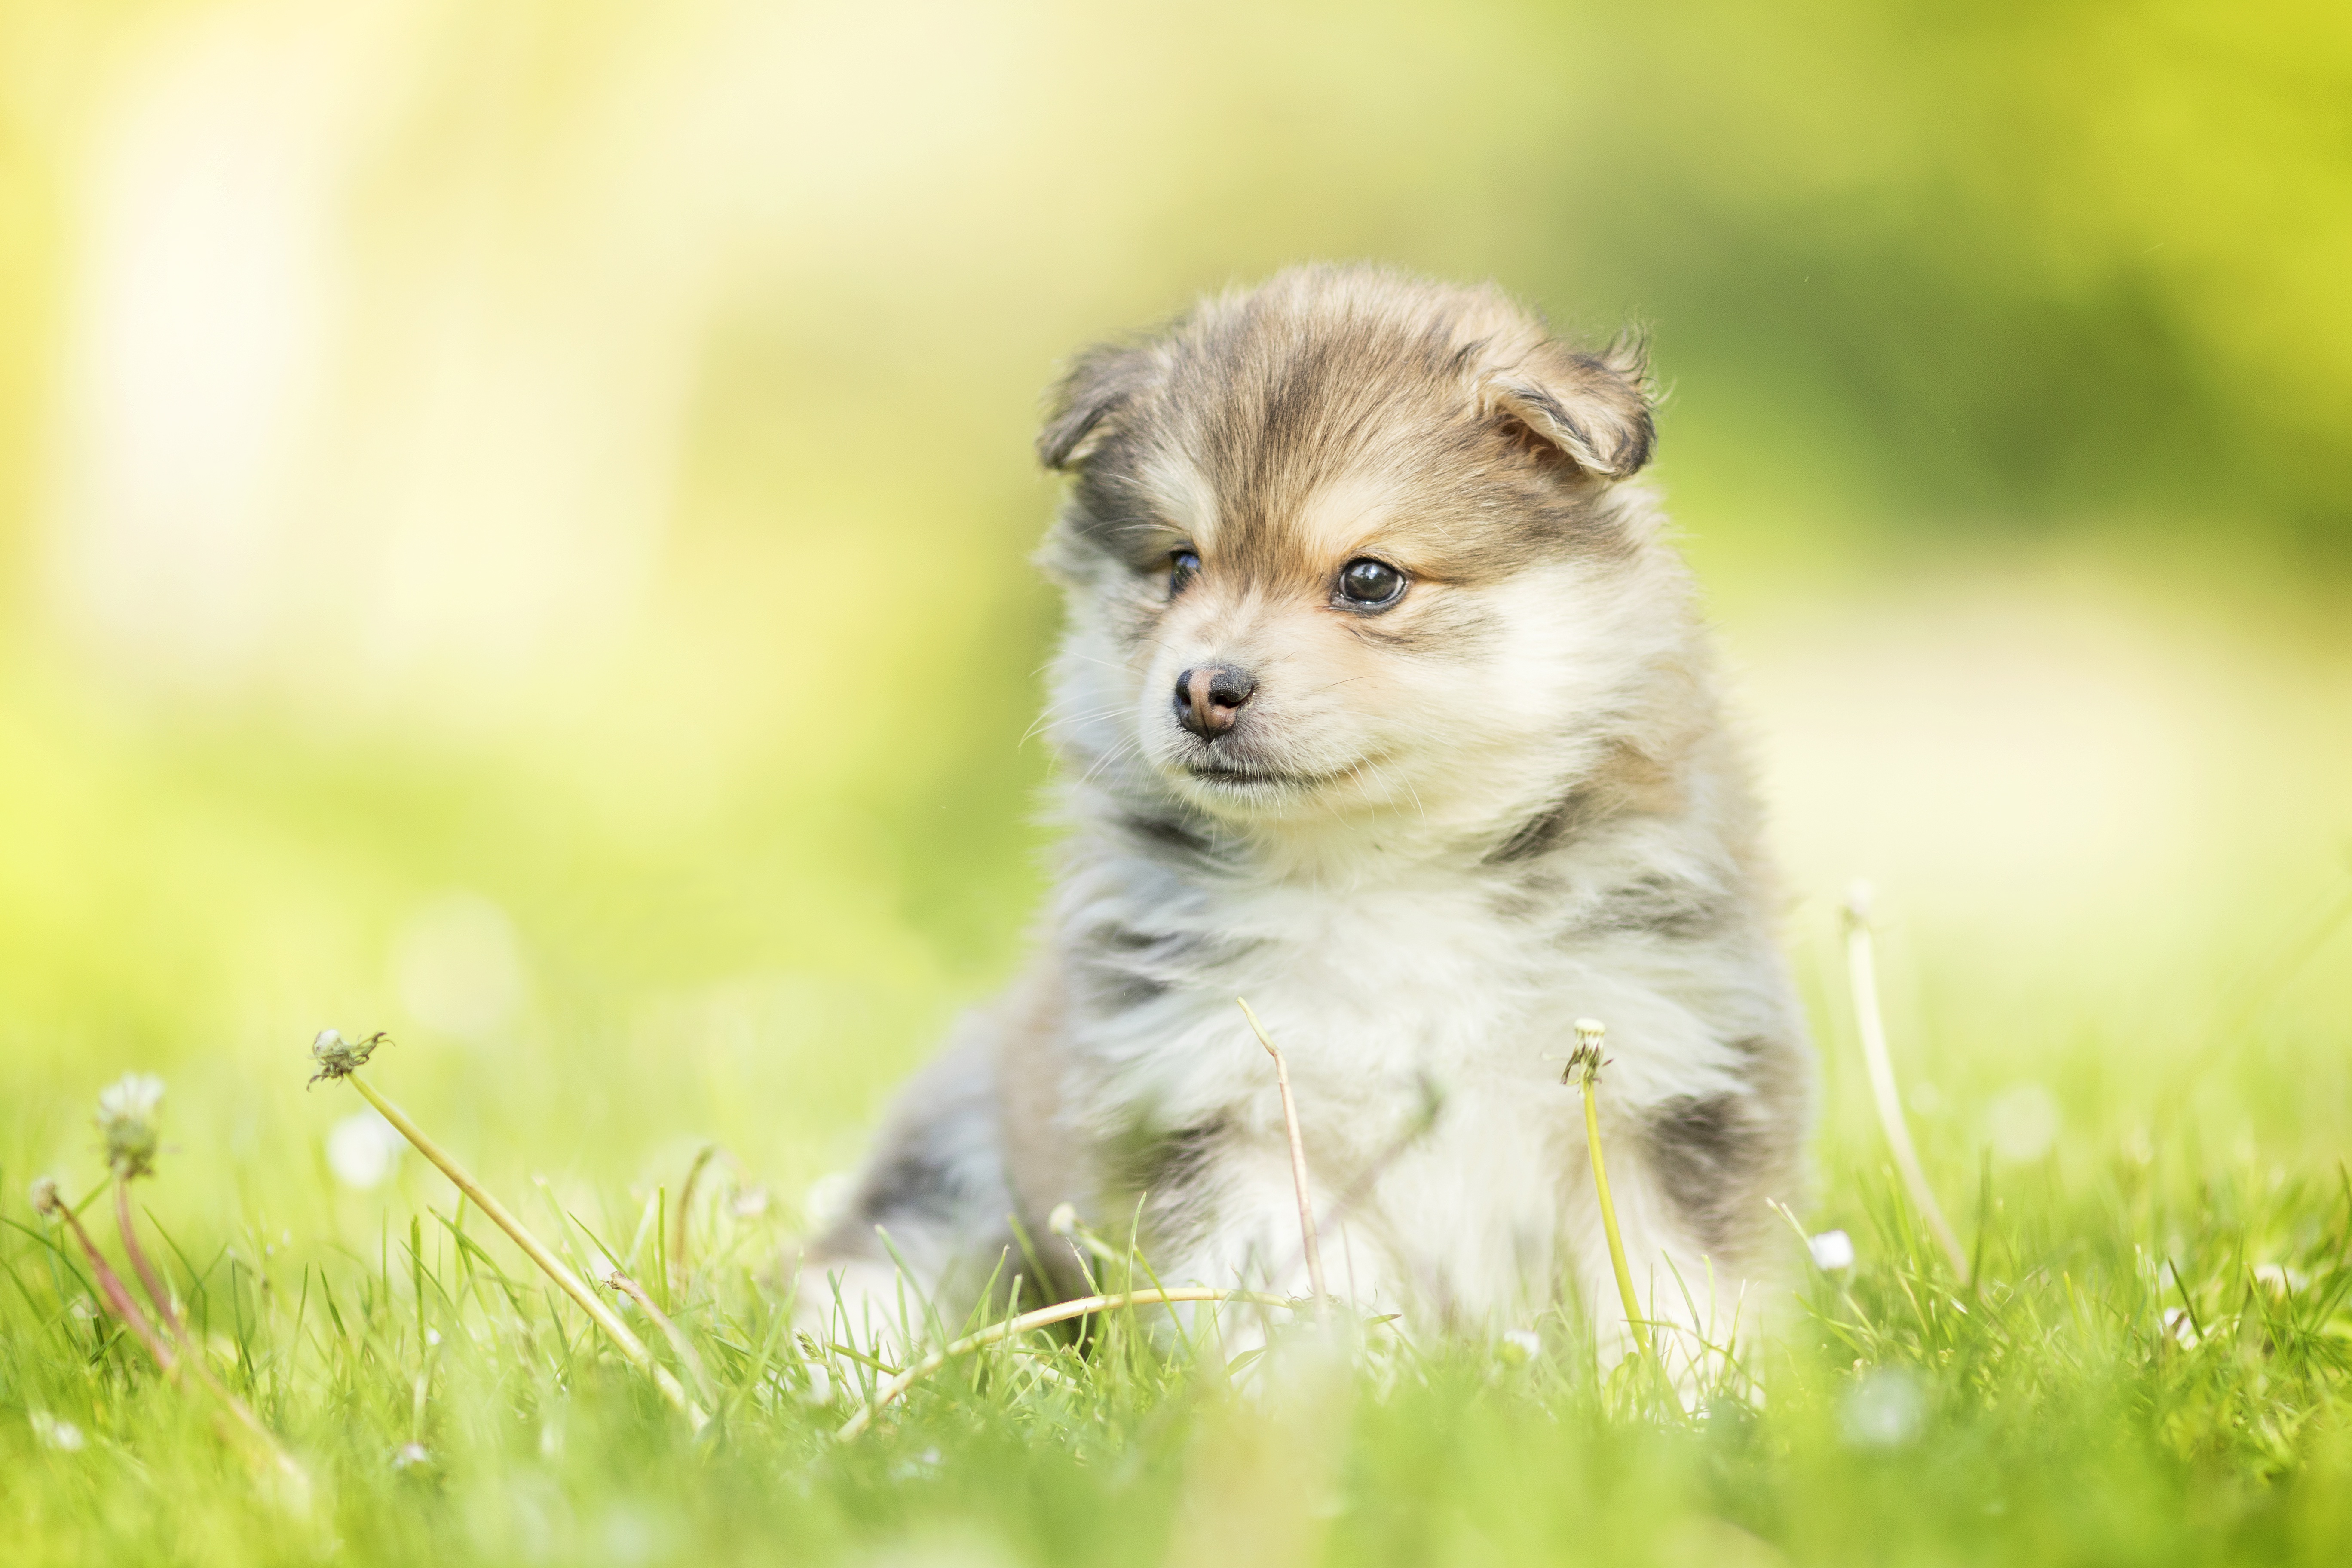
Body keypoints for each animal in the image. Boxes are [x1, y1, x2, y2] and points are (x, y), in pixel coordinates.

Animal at [799, 263, 1806, 1363]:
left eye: (1369, 579)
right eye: (1180, 566)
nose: (1204, 691)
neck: (1378, 872)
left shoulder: (1667, 1072)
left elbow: (1680, 1291)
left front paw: (1698, 1396)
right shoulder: (1213, 1101)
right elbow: (1286, 1306)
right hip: (968, 1139)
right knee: (881, 1253)